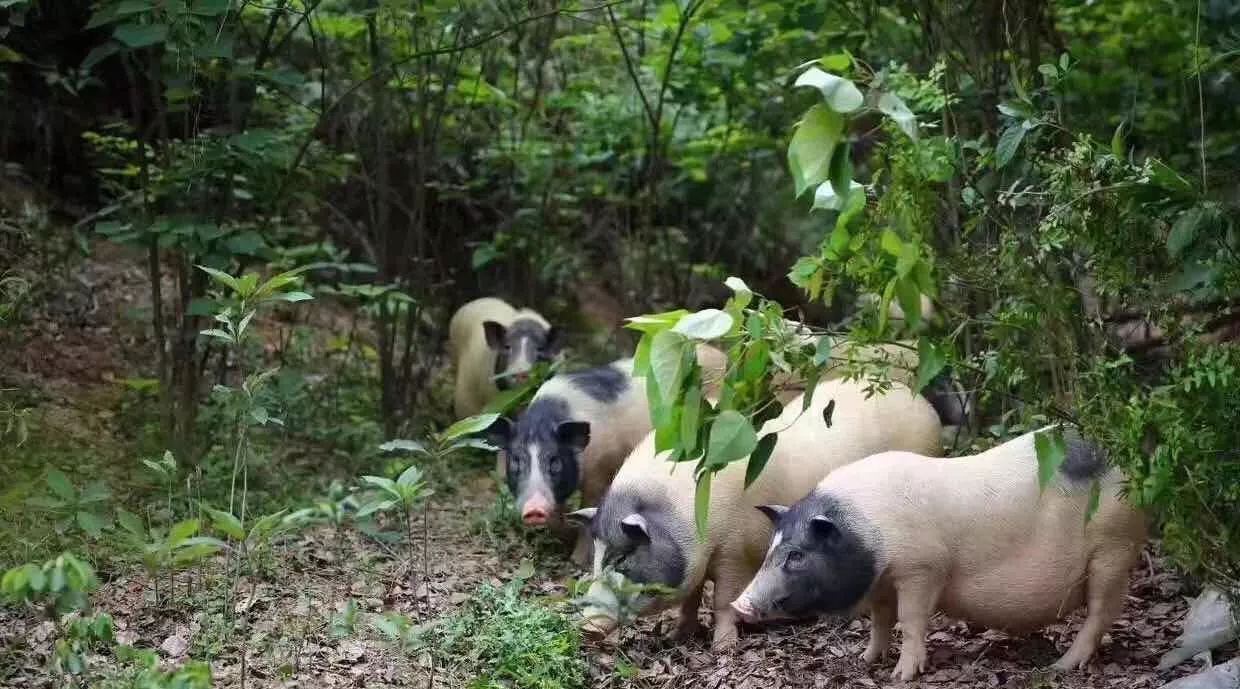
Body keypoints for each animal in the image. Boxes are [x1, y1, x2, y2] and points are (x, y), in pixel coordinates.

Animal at [486, 344, 734, 565]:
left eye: (555, 462)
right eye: (516, 461)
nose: (534, 510)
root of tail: (723, 356)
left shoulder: (599, 472)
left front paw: (577, 561)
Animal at [567, 376, 942, 649]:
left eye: (623, 559)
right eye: (596, 560)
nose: (587, 628)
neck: (688, 518)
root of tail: (923, 405)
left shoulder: (735, 552)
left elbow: (722, 600)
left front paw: (723, 647)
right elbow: (690, 599)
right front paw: (678, 636)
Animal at [729, 428, 1145, 679]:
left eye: (797, 555)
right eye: (772, 547)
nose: (740, 603)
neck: (867, 532)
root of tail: (1125, 465)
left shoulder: (922, 568)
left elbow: (911, 621)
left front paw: (900, 676)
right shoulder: (882, 582)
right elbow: (880, 621)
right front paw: (866, 660)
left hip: (1113, 547)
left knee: (1102, 612)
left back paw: (1061, 667)